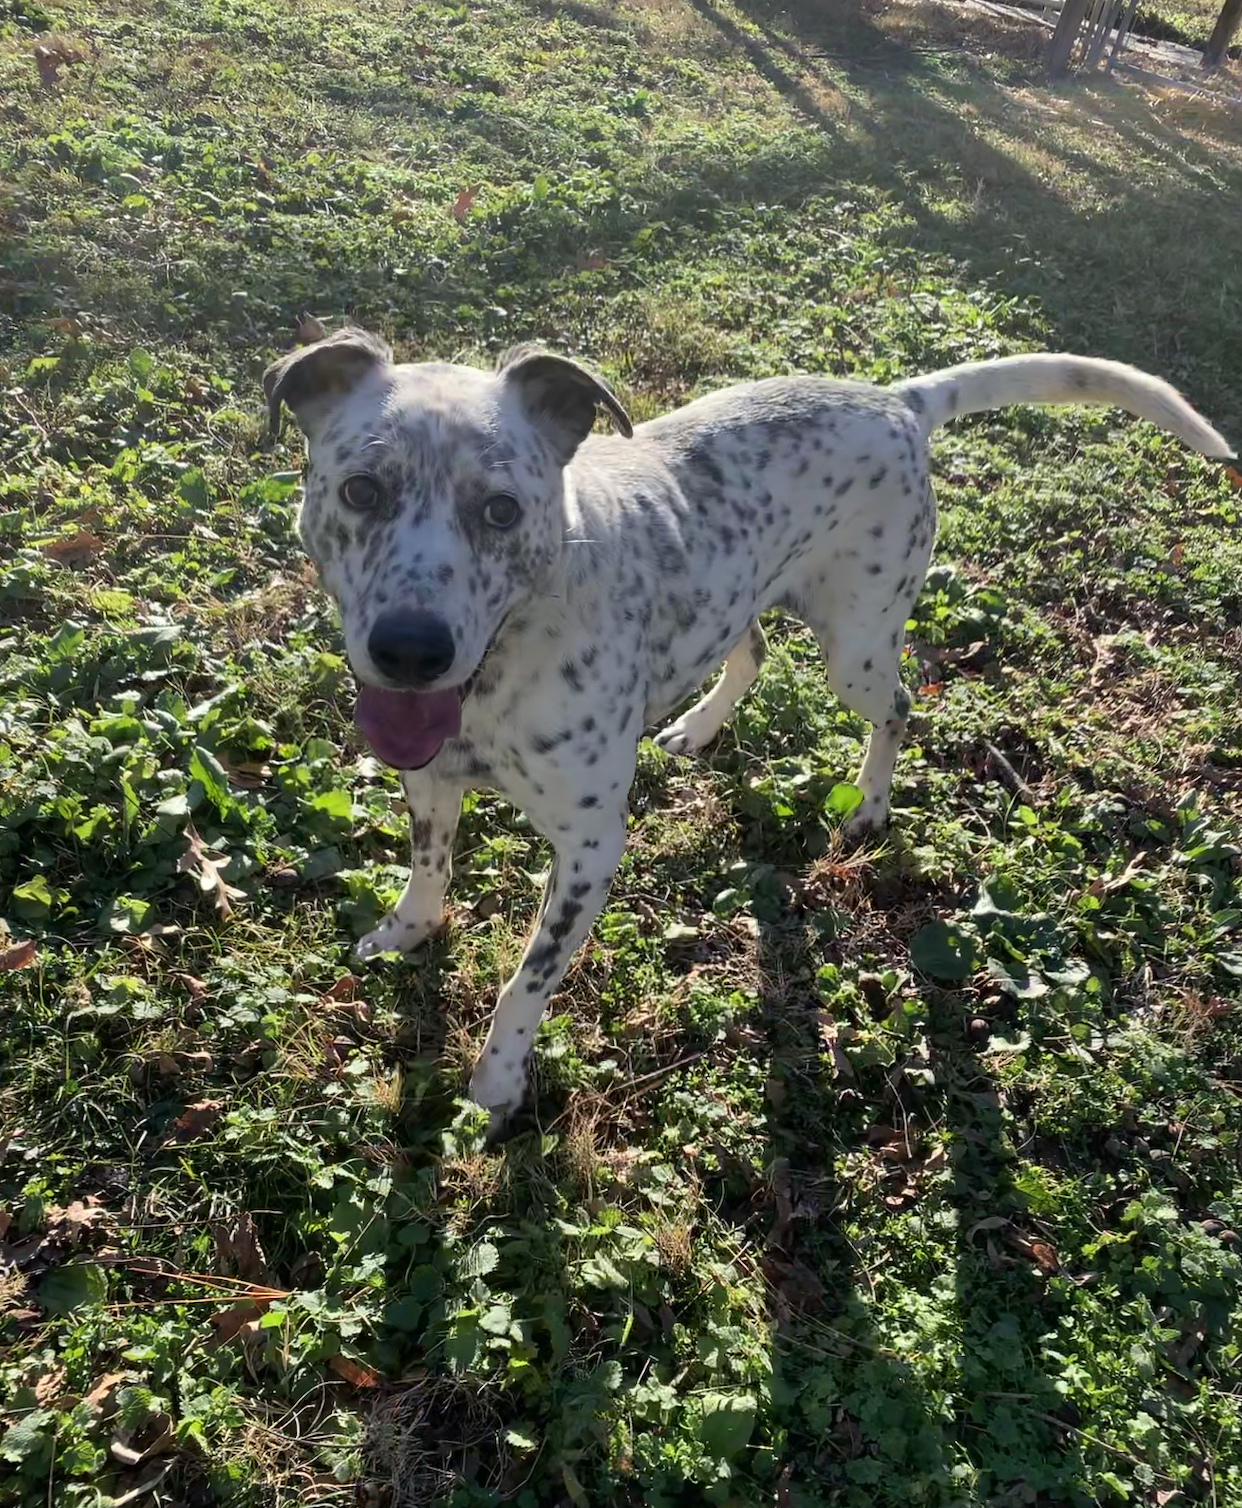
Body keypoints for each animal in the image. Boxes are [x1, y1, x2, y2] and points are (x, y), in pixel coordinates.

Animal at [263, 333, 1229, 1134]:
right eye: (361, 490)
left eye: (500, 510)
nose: (409, 649)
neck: (500, 674)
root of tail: (897, 400)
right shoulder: (429, 779)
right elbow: (428, 867)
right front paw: (409, 931)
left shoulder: (589, 849)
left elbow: (523, 983)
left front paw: (497, 1081)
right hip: (743, 596)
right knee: (754, 646)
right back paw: (696, 727)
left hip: (858, 647)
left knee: (900, 705)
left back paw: (868, 808)